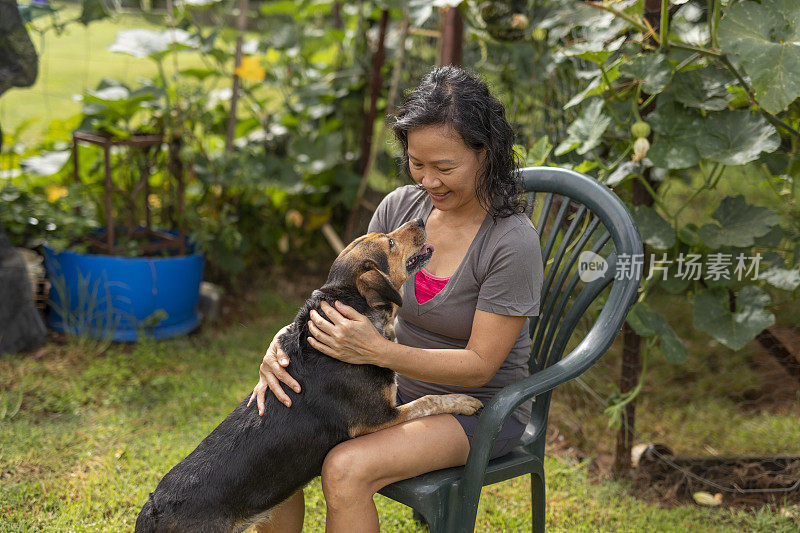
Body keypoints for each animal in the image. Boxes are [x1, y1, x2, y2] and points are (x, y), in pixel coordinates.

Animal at [136, 218, 482, 528]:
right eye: (390, 242)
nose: (422, 219)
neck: (357, 310)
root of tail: (153, 510)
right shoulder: (378, 418)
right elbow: (429, 401)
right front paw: (464, 401)